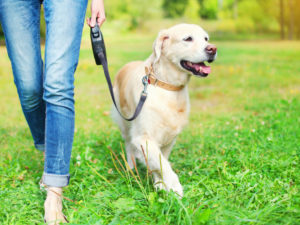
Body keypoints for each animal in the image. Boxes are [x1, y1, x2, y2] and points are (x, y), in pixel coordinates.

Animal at [111, 23, 217, 196]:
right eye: (188, 38)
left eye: (206, 38)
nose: (213, 49)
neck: (167, 85)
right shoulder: (143, 137)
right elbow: (163, 164)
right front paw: (175, 187)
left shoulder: (170, 137)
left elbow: (160, 162)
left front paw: (160, 184)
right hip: (125, 122)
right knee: (128, 145)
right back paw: (131, 168)